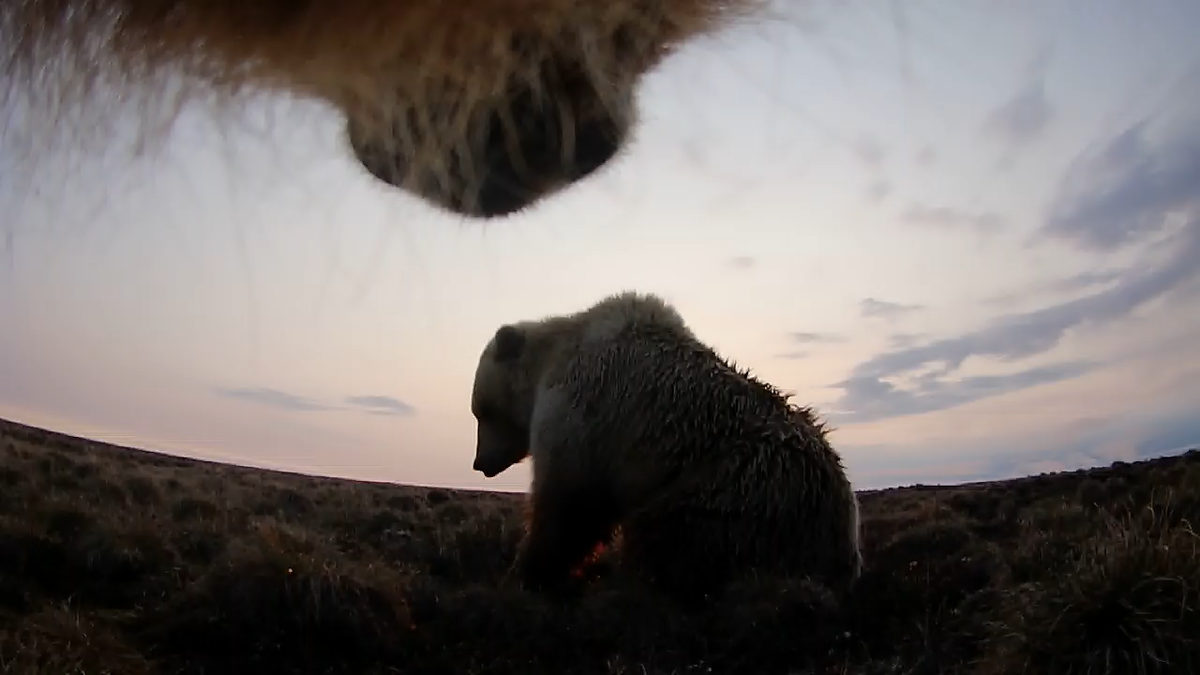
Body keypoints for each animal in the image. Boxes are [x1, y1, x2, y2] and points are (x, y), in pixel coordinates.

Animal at [469, 290, 864, 602]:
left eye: (481, 411)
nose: (480, 462)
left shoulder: (581, 413)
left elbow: (568, 504)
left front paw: (523, 575)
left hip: (734, 495)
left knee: (664, 537)